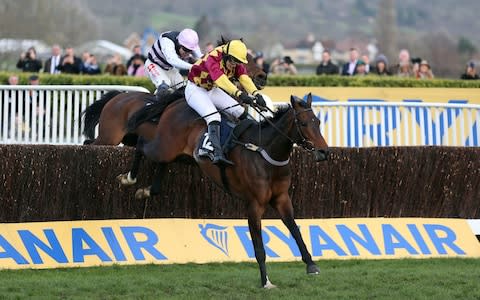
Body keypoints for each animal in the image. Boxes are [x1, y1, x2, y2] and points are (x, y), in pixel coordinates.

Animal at [120, 93, 330, 288]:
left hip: (180, 155)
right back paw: (128, 178)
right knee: (141, 144)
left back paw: (146, 191)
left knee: (161, 165)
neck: (264, 152)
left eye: (318, 121)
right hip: (164, 145)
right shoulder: (254, 204)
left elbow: (295, 230)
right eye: (303, 123)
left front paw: (311, 265)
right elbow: (258, 246)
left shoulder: (282, 198)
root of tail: (178, 101)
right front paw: (266, 281)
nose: (324, 152)